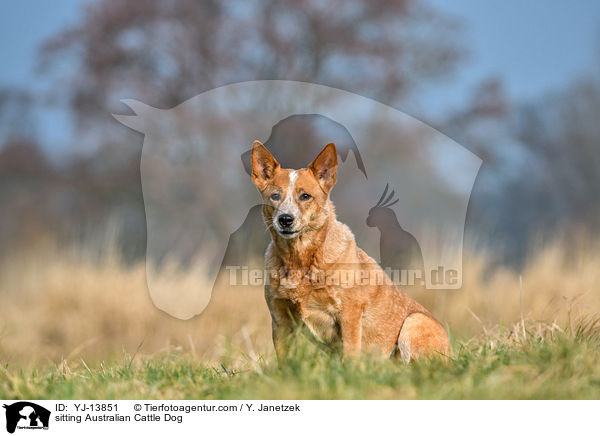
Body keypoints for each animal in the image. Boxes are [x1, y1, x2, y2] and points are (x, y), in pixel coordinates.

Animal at [248, 141, 450, 362]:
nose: (285, 219)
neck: (300, 260)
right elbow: (284, 361)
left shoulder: (349, 313)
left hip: (414, 322)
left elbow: (351, 353)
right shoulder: (280, 319)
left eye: (305, 196)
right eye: (275, 196)